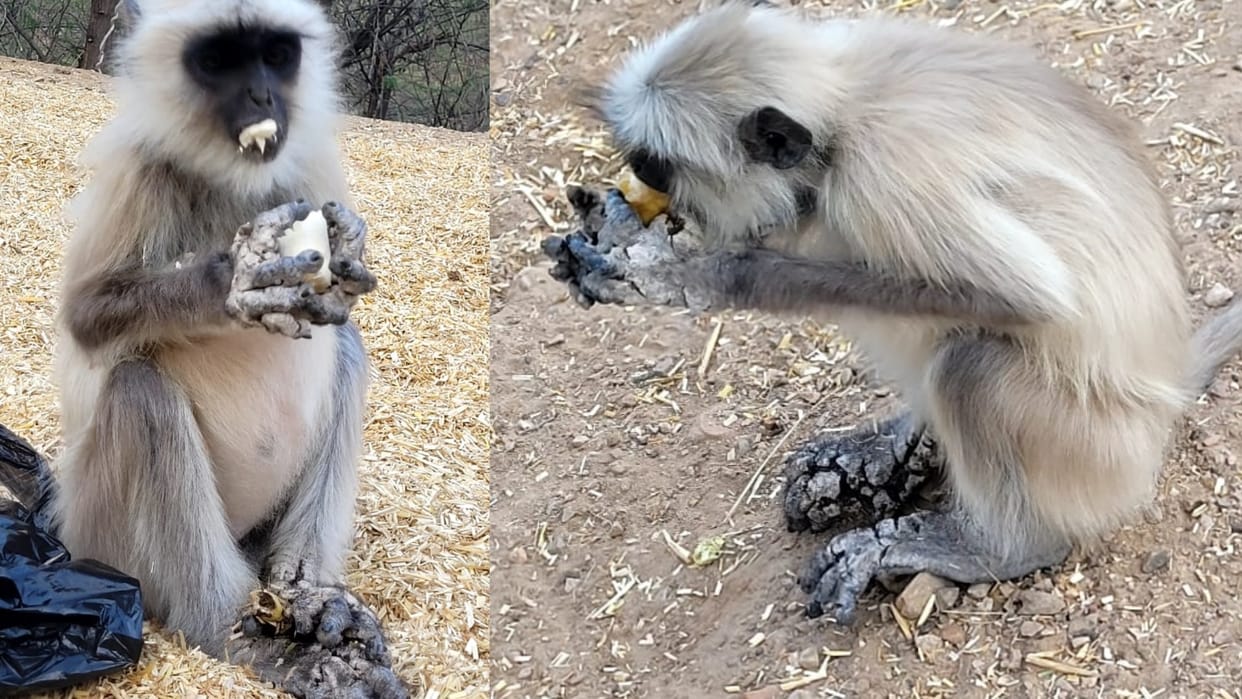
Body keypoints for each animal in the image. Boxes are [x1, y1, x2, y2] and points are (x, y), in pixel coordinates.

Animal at [0, 1, 408, 696]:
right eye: (220, 60)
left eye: (275, 55)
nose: (262, 97)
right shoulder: (140, 167)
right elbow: (86, 319)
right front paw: (234, 277)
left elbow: (343, 297)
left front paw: (349, 240)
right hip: (105, 534)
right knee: (140, 390)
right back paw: (237, 633)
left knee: (346, 344)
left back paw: (309, 594)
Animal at [544, 1, 1242, 624]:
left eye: (654, 167)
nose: (642, 187)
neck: (844, 108)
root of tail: (1165, 397)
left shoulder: (882, 173)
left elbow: (1026, 297)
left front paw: (691, 275)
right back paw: (894, 452)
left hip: (1092, 445)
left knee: (967, 359)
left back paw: (991, 545)